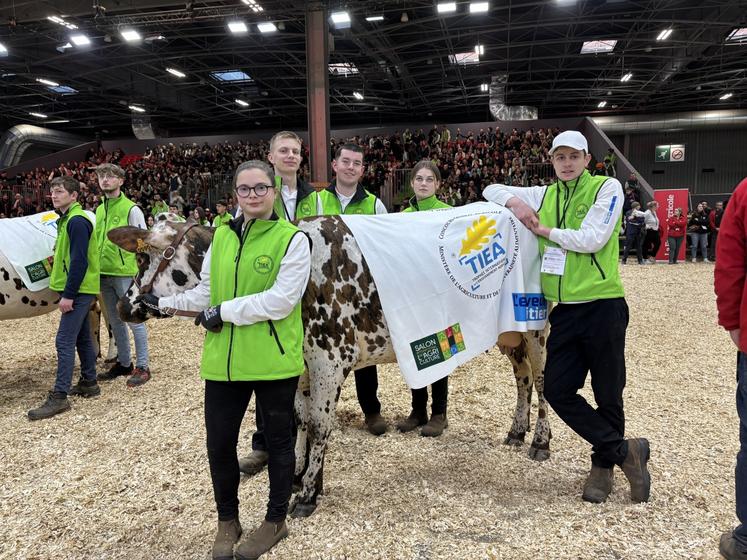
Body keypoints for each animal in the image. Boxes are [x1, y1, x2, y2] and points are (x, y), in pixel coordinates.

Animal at [111, 217, 552, 520]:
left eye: (143, 256)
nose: (123, 305)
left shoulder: (329, 359)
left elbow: (322, 425)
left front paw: (308, 493)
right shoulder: (301, 365)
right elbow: (302, 419)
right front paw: (300, 475)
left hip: (536, 325)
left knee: (543, 380)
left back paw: (540, 441)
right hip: (508, 333)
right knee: (522, 378)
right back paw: (516, 430)